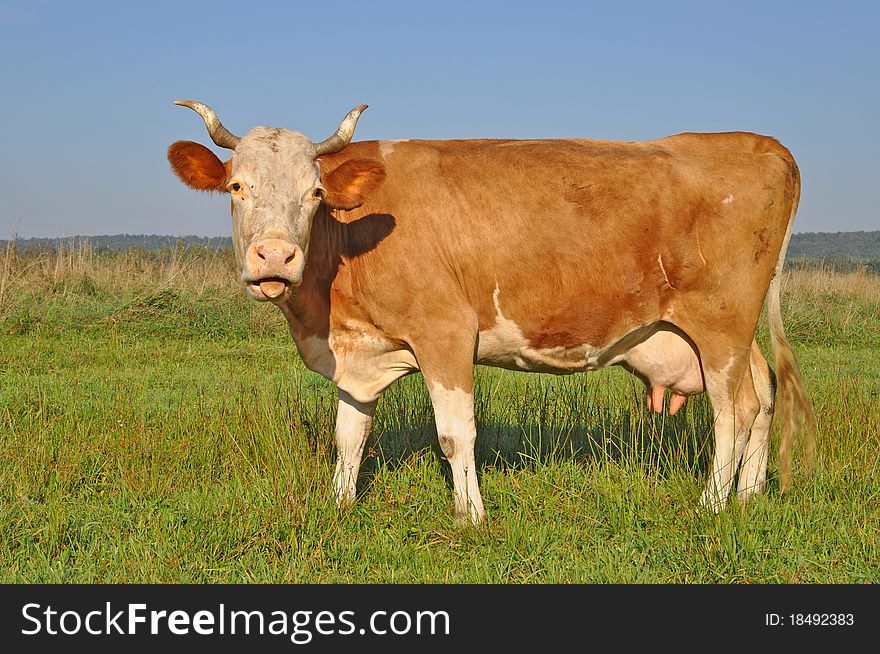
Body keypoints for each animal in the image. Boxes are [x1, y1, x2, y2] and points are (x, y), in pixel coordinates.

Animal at [168, 100, 816, 524]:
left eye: (316, 193)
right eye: (236, 186)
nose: (275, 256)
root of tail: (761, 143)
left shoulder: (446, 333)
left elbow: (455, 434)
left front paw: (470, 517)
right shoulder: (359, 350)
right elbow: (350, 435)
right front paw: (340, 505)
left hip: (721, 322)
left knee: (735, 409)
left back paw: (712, 504)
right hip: (724, 332)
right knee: (762, 392)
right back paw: (750, 496)